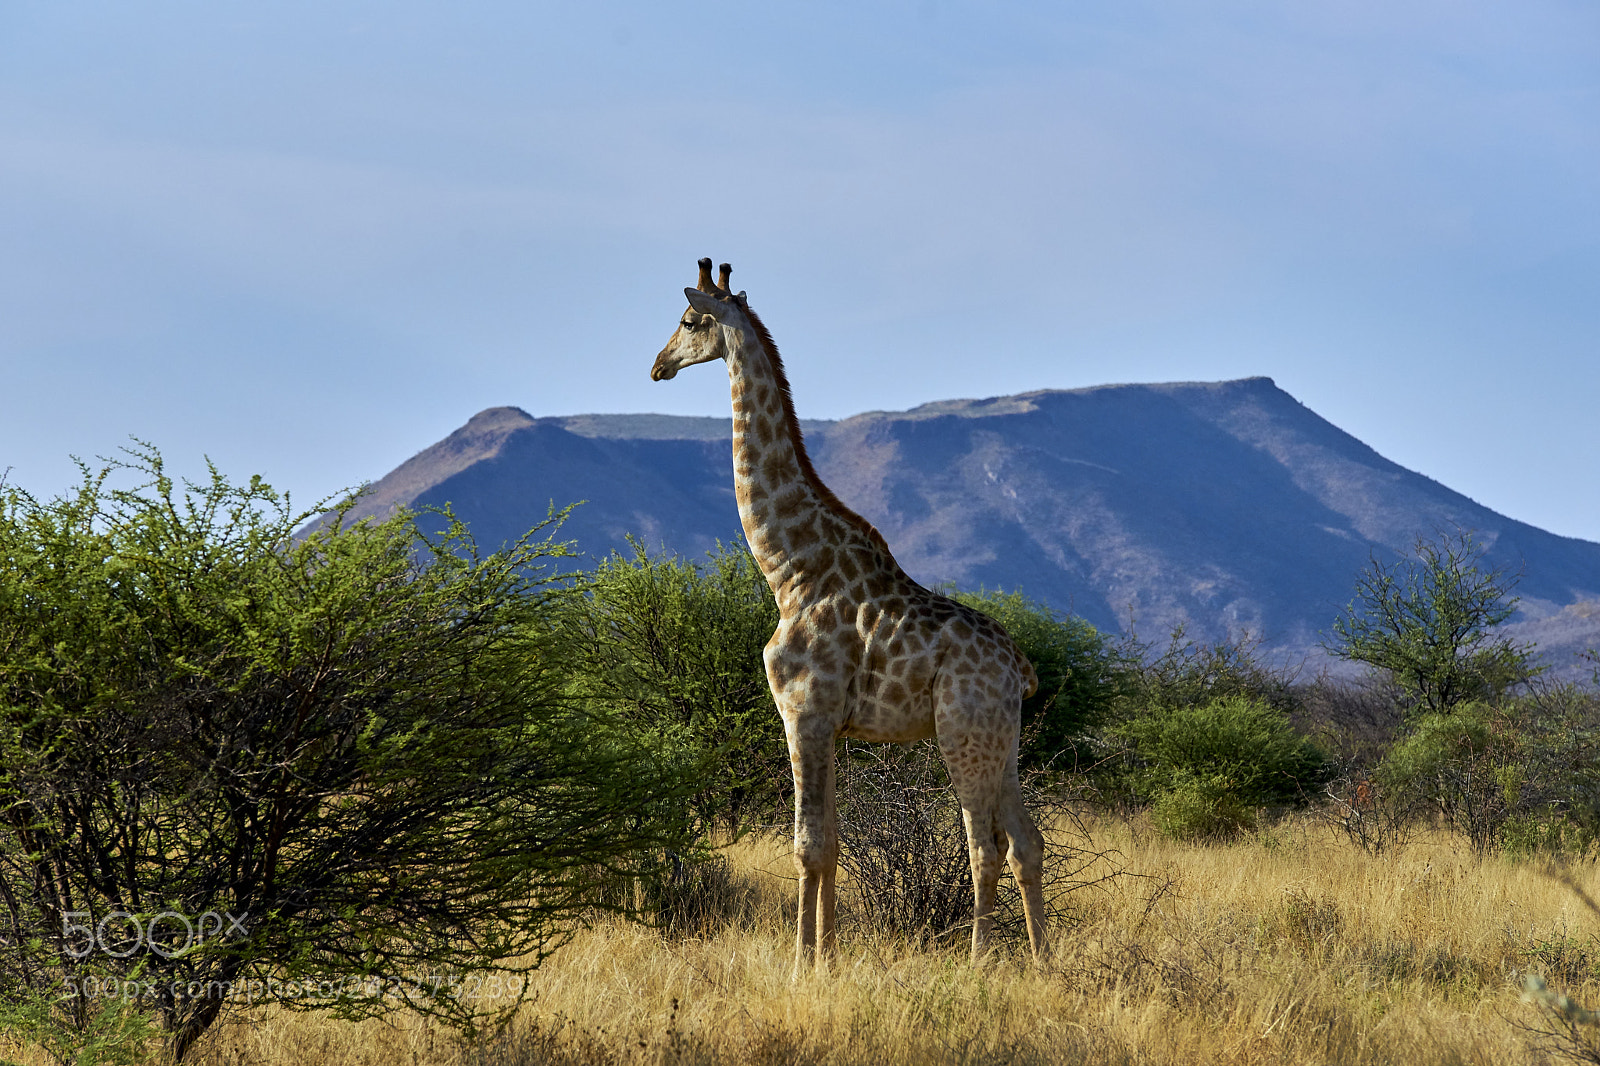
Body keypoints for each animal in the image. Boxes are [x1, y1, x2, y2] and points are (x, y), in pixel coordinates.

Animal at [650, 258, 1050, 974]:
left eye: (690, 321)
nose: (657, 365)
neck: (788, 569)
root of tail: (1020, 669)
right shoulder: (830, 725)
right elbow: (830, 842)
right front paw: (828, 956)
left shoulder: (803, 710)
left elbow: (808, 844)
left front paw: (801, 963)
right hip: (1003, 738)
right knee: (1027, 845)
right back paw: (1043, 964)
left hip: (963, 732)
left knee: (985, 847)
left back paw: (980, 962)